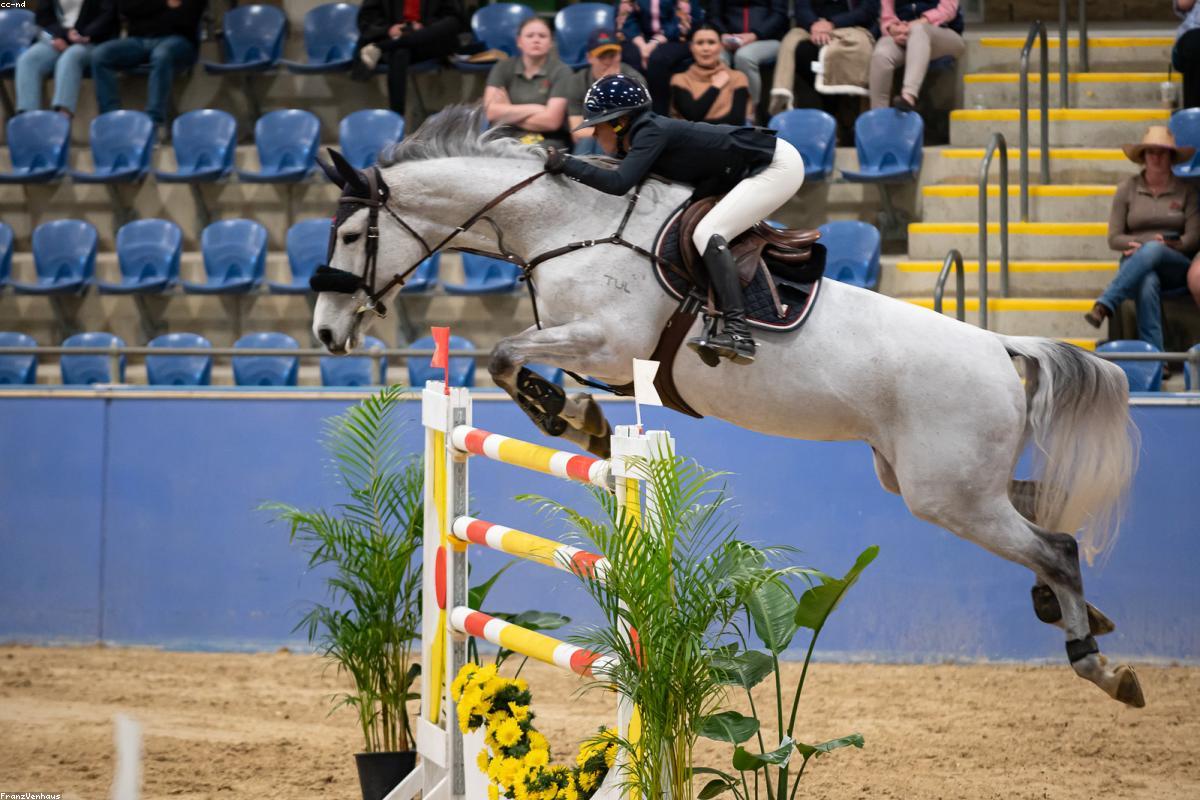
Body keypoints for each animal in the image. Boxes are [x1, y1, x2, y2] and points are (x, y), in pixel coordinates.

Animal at [310, 106, 1143, 708]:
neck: (566, 226)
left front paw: (567, 417)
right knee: (1044, 511)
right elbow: (513, 359)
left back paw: (1101, 664)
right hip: (933, 478)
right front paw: (582, 419)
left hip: (947, 493)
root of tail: (1002, 349)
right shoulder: (596, 353)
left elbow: (505, 355)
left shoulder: (606, 344)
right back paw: (1080, 614)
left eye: (350, 233)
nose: (322, 332)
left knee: (1054, 545)